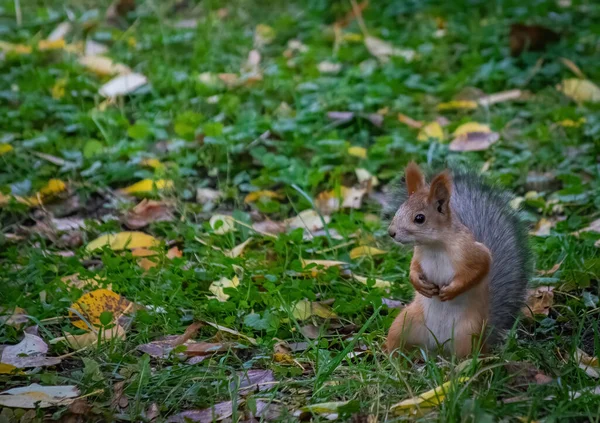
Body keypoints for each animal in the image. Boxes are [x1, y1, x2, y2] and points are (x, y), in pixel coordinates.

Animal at [384, 162, 528, 358]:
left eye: (419, 218)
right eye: (399, 210)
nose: (391, 232)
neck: (435, 245)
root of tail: (438, 346)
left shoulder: (472, 251)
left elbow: (480, 268)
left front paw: (451, 291)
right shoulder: (418, 255)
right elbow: (414, 268)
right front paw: (418, 284)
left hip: (468, 334)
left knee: (467, 357)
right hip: (404, 323)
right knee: (397, 343)